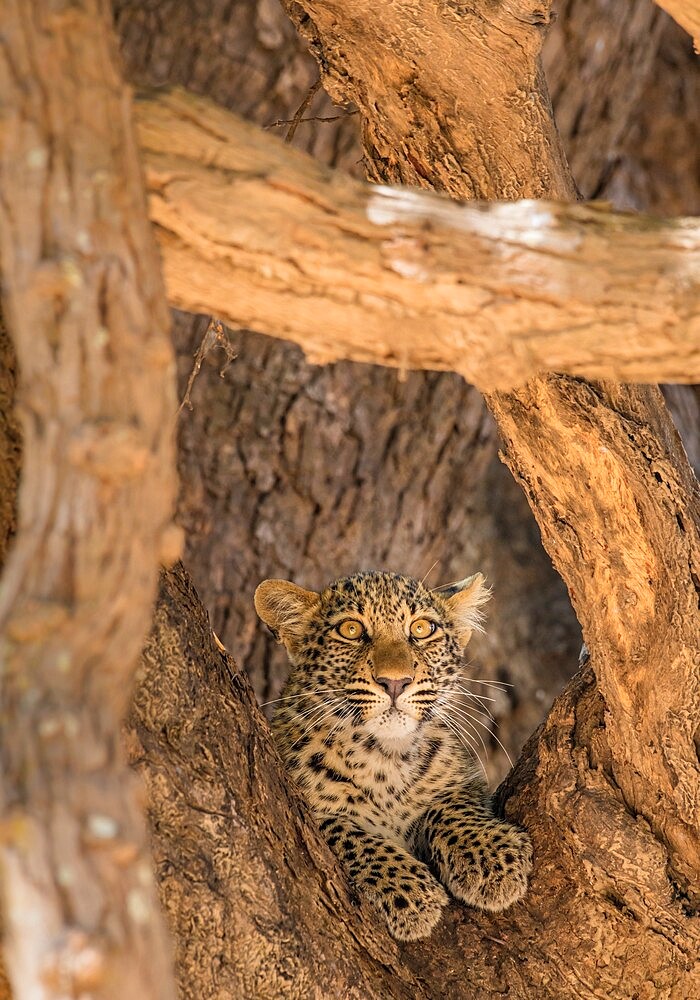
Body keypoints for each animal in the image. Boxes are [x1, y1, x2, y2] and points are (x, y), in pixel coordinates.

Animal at [254, 572, 532, 936]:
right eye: (350, 630)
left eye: (422, 628)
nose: (396, 682)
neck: (386, 757)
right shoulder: (299, 803)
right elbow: (346, 831)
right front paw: (408, 892)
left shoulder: (463, 779)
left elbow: (450, 803)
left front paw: (491, 856)